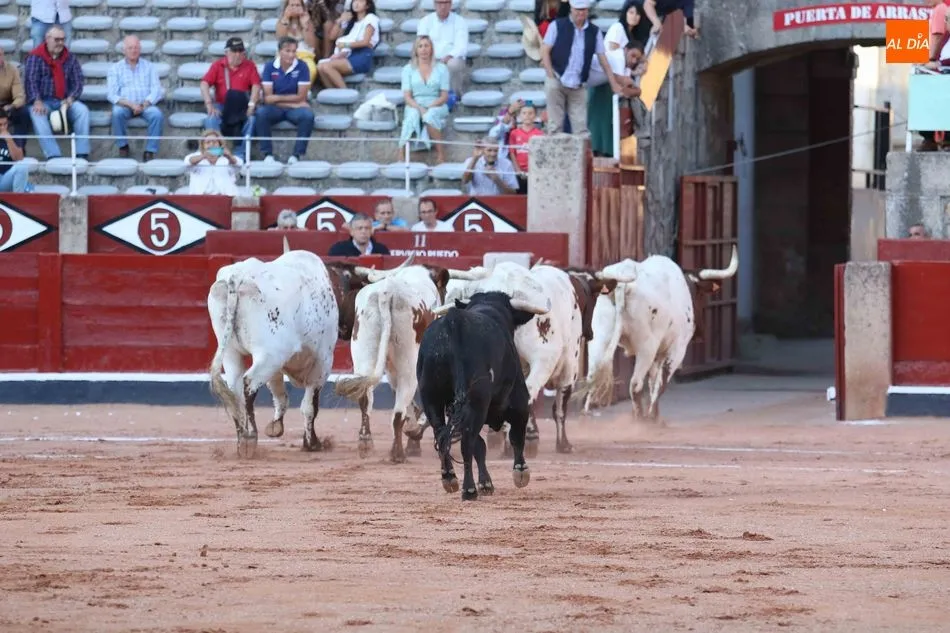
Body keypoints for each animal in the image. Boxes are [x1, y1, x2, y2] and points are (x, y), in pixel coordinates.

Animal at [207, 242, 341, 458]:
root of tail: (237, 277)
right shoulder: (323, 361)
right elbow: (310, 405)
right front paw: (312, 442)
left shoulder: (277, 363)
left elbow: (279, 393)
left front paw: (276, 426)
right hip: (271, 354)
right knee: (249, 383)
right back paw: (250, 439)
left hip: (233, 352)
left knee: (235, 390)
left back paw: (241, 438)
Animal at [332, 259, 451, 463]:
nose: (342, 330)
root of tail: (386, 294)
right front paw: (414, 435)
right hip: (409, 362)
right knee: (399, 410)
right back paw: (398, 453)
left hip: (364, 352)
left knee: (365, 397)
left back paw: (366, 443)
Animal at [417, 290, 551, 501]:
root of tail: (455, 322)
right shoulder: (519, 403)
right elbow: (516, 436)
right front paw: (520, 472)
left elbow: (480, 446)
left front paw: (486, 483)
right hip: (476, 402)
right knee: (466, 443)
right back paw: (469, 489)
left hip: (431, 397)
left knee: (441, 434)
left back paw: (449, 477)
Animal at [579, 246, 739, 419]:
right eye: (700, 294)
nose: (700, 333)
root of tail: (622, 283)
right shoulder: (676, 350)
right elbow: (660, 384)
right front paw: (653, 417)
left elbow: (652, 381)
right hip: (647, 347)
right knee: (635, 384)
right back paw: (640, 419)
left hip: (599, 340)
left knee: (592, 378)